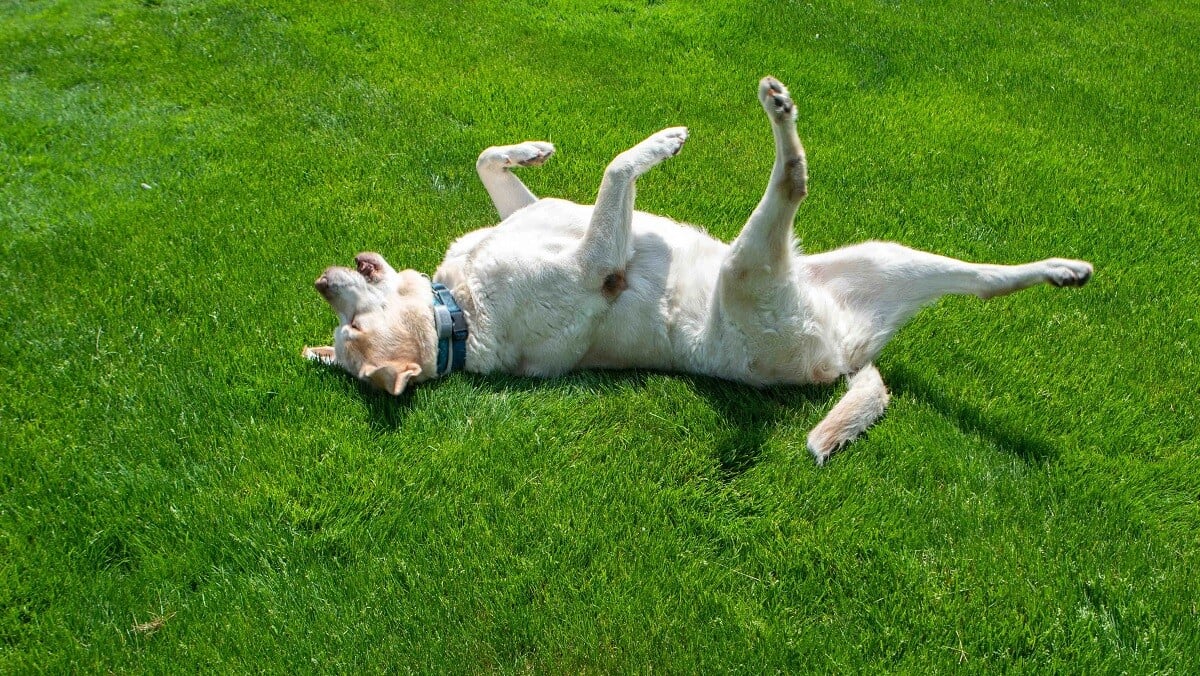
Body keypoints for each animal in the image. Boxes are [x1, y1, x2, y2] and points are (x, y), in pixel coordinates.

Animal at [304, 76, 1094, 463]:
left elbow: (492, 161)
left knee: (985, 280)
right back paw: (779, 114)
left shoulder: (537, 218)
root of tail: (845, 358)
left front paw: (532, 149)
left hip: (881, 256)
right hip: (751, 272)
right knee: (791, 182)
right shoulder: (596, 259)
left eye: (347, 324)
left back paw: (1062, 269)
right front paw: (661, 143)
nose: (321, 281)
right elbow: (616, 167)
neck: (456, 310)